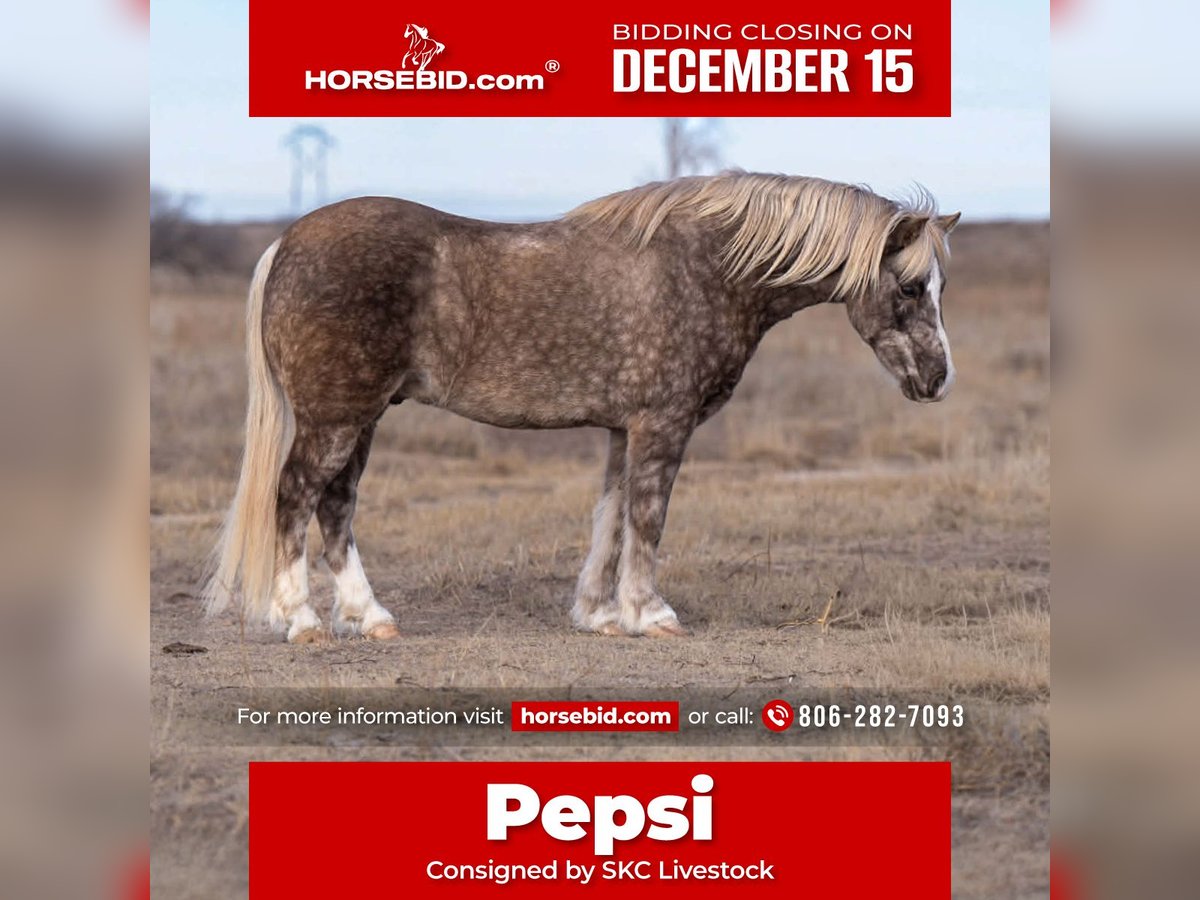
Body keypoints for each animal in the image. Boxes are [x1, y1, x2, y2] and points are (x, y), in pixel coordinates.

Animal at [202, 172, 960, 643]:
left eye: (937, 286)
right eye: (911, 287)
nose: (938, 379)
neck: (704, 270)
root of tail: (286, 243)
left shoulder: (624, 430)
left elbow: (610, 516)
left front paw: (599, 614)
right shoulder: (662, 425)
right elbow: (647, 519)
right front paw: (651, 614)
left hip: (361, 418)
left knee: (336, 507)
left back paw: (371, 617)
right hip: (336, 419)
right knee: (295, 498)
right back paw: (303, 622)